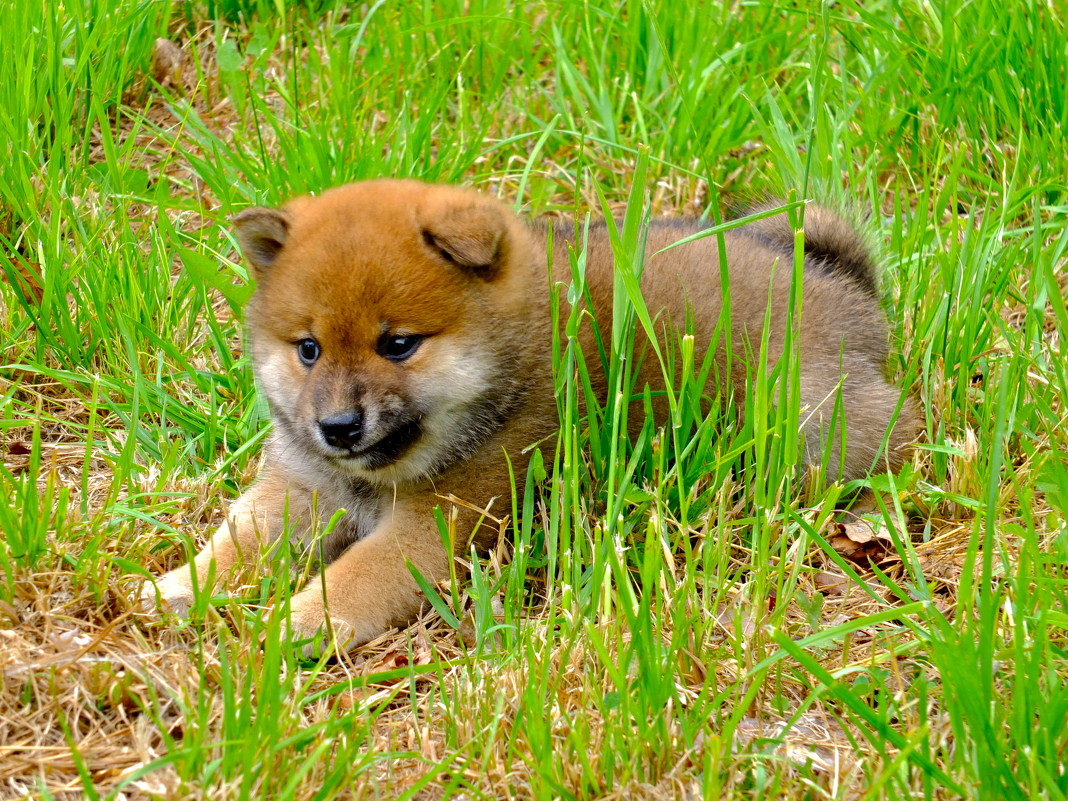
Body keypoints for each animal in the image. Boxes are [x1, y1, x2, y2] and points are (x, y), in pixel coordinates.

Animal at [142, 180, 918, 653]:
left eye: (398, 345)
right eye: (307, 349)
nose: (336, 428)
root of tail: (841, 283)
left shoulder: (442, 523)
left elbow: (357, 575)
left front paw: (297, 621)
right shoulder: (302, 487)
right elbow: (240, 539)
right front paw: (177, 587)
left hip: (808, 421)